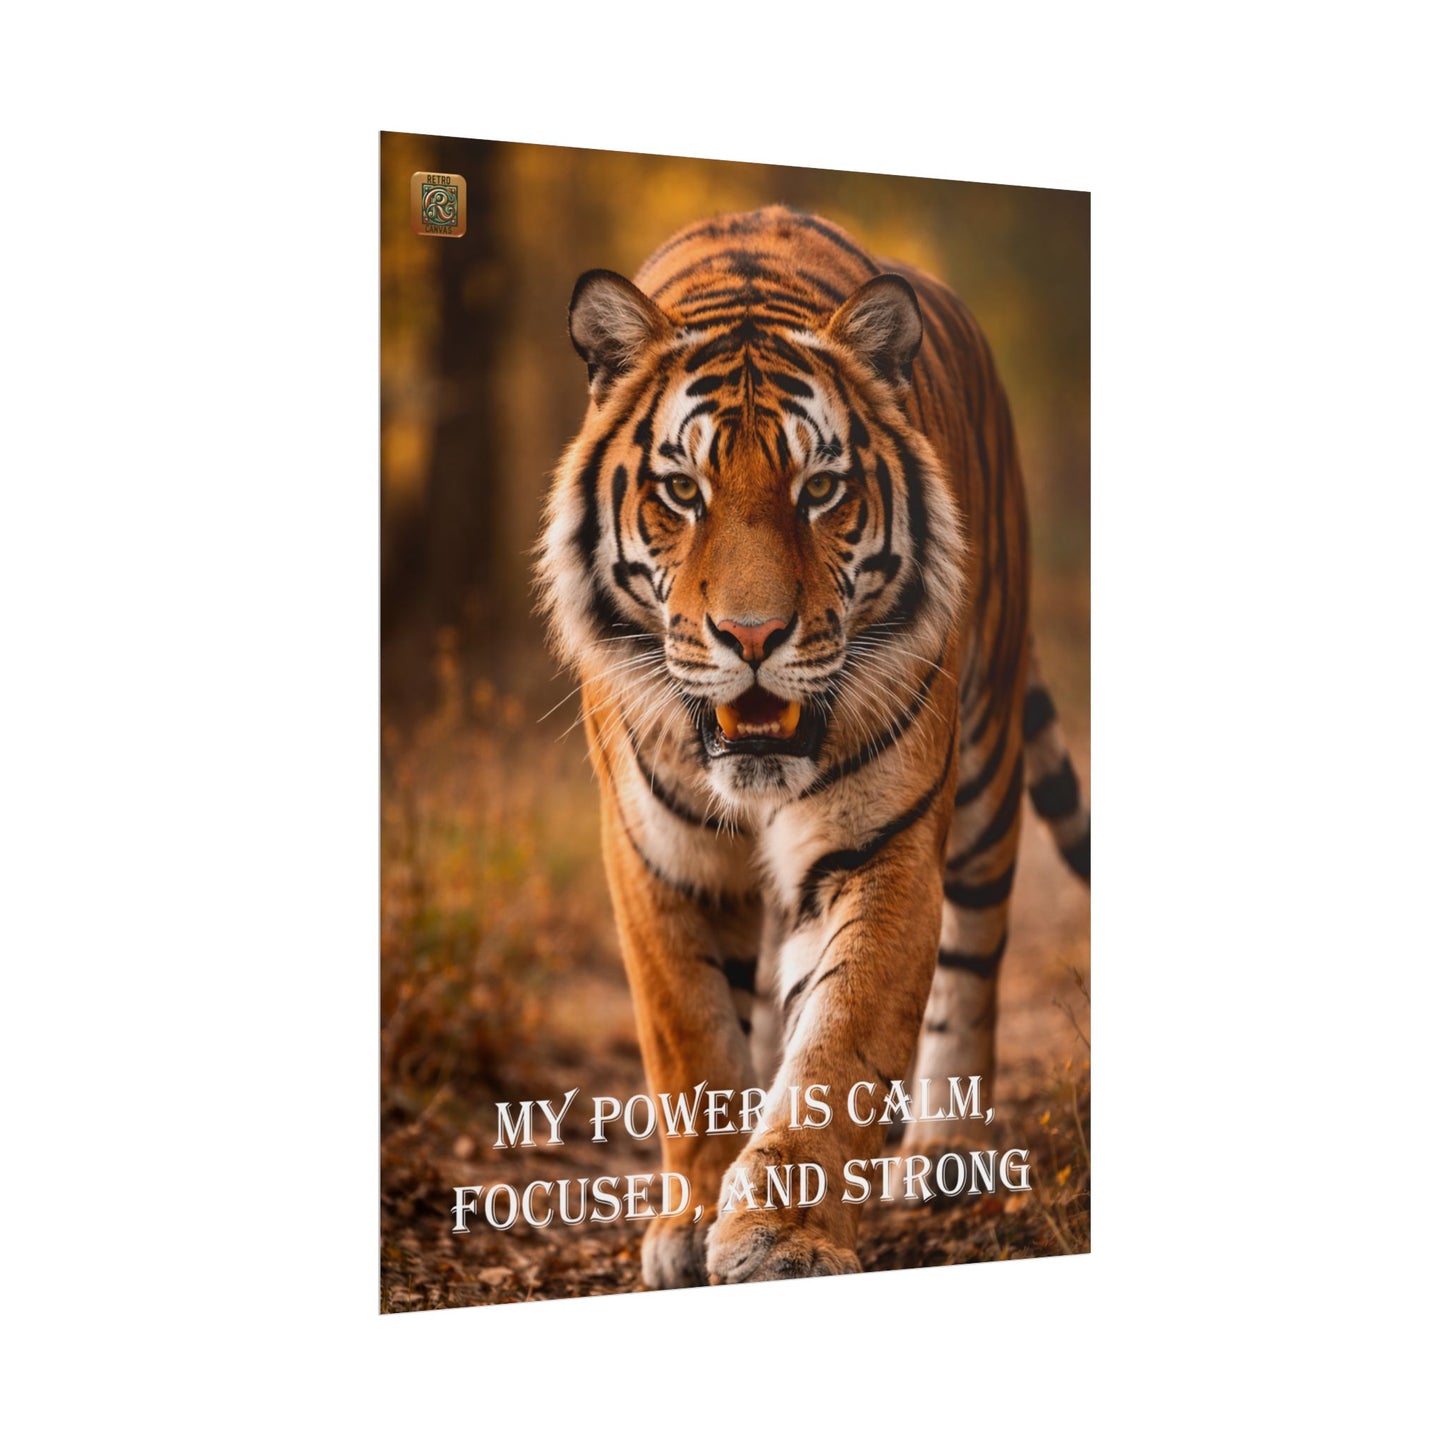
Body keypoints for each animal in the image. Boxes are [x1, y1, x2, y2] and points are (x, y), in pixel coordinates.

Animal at [536, 205, 1089, 1288]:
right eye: (681, 489)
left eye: (821, 487)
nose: (751, 637)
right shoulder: (655, 855)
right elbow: (691, 1038)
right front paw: (691, 1218)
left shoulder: (878, 845)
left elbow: (838, 1041)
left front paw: (781, 1234)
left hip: (986, 770)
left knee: (971, 963)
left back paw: (945, 1152)